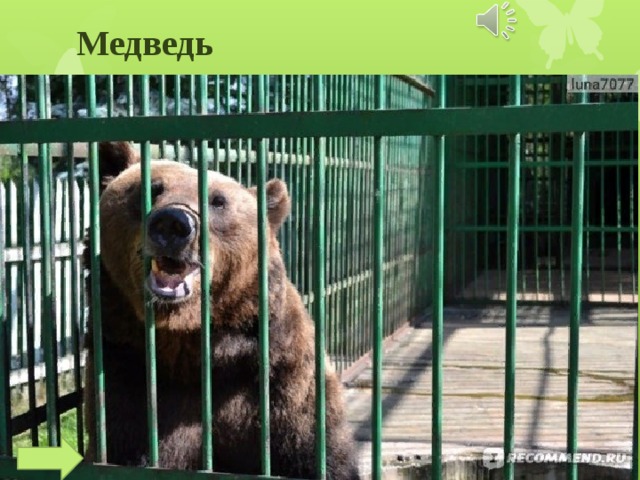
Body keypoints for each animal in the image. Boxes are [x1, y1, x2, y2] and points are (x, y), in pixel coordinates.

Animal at [82, 141, 360, 480]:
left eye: (218, 201)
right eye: (151, 188)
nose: (173, 223)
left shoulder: (283, 382)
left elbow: (315, 454)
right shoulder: (124, 368)